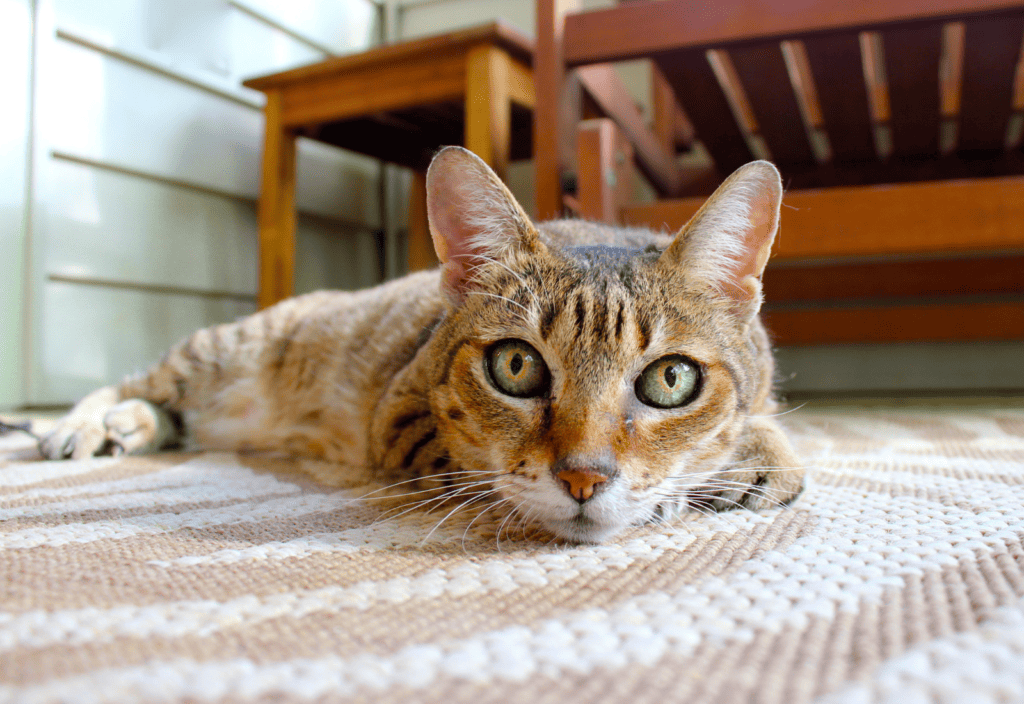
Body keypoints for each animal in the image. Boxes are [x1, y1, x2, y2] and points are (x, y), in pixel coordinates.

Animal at [39, 145, 802, 540]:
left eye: (670, 380)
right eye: (516, 366)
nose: (584, 478)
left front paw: (750, 458)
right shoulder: (400, 417)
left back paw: (131, 429)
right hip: (221, 349)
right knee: (135, 383)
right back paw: (83, 425)